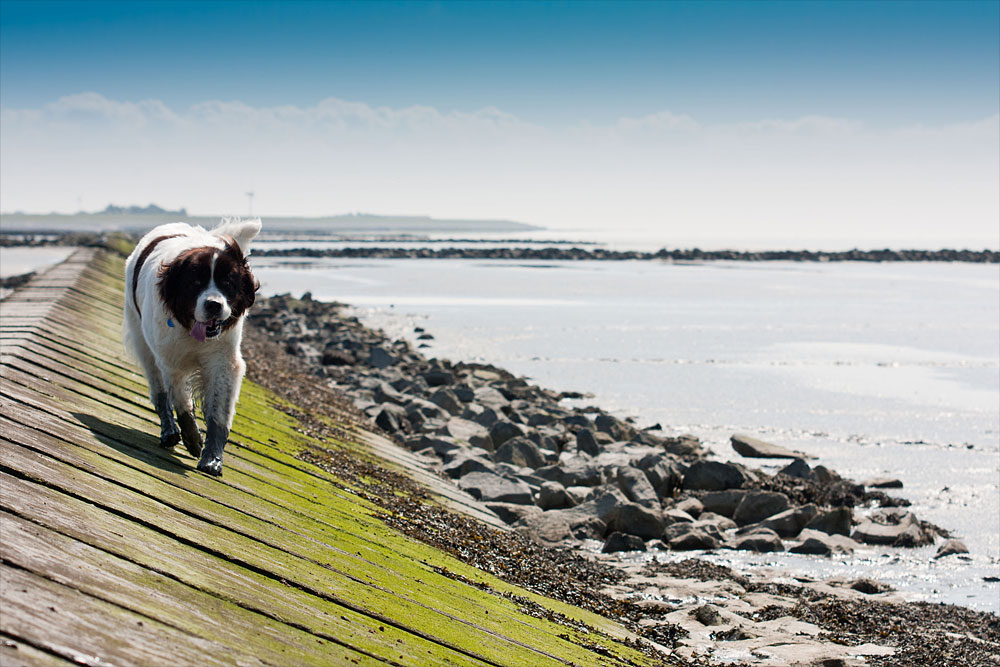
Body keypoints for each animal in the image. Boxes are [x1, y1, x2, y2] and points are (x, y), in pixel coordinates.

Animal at [124, 219, 262, 474]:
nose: (214, 304)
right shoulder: (170, 359)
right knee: (159, 390)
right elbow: (181, 401)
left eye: (228, 283)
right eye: (195, 283)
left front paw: (212, 458)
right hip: (142, 342)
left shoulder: (224, 361)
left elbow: (218, 413)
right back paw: (169, 431)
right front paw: (192, 438)